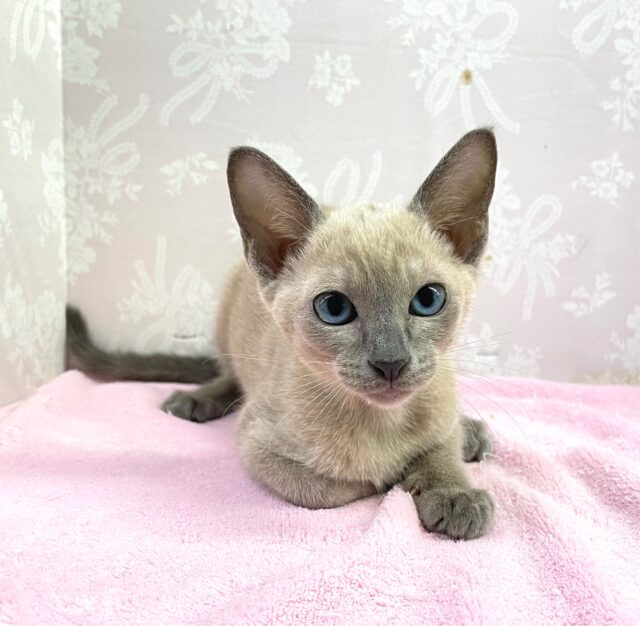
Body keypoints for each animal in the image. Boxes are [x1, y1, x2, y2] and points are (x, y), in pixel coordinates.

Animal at [66, 129, 496, 540]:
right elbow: (342, 487)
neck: (380, 421)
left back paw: (472, 432)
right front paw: (400, 477)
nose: (391, 362)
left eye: (428, 299)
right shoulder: (258, 448)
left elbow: (442, 450)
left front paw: (455, 492)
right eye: (334, 308)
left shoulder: (439, 408)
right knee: (228, 376)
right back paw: (196, 400)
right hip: (227, 319)